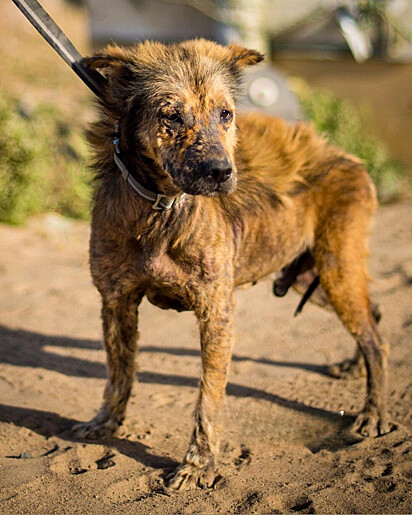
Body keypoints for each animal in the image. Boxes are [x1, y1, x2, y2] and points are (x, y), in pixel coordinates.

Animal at [72, 38, 392, 490]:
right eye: (172, 115)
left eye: (226, 114)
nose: (223, 173)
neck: (161, 210)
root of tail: (348, 156)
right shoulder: (116, 302)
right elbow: (119, 373)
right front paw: (105, 423)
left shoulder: (216, 310)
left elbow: (208, 396)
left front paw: (198, 464)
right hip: (309, 276)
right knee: (373, 315)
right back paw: (352, 366)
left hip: (336, 269)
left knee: (376, 339)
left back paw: (374, 412)